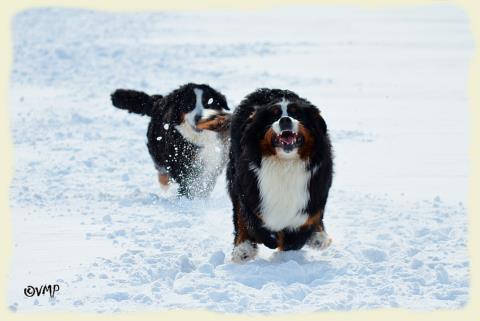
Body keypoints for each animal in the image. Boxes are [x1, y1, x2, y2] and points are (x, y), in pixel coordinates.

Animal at [226, 88, 332, 262]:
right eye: (274, 115)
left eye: (297, 114)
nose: (285, 120)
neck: (285, 164)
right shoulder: (250, 193)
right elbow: (254, 224)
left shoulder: (311, 197)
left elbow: (298, 234)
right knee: (240, 217)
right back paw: (243, 250)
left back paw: (319, 238)